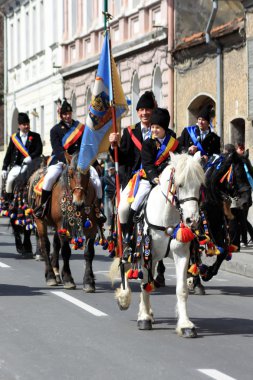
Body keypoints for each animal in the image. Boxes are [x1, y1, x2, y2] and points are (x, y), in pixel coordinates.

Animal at [29, 153, 99, 290]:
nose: (79, 203)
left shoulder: (91, 228)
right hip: (40, 221)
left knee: (56, 245)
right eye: (71, 174)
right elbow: (66, 251)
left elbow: (89, 252)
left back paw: (56, 273)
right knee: (45, 245)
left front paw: (89, 281)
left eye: (88, 174)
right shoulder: (63, 226)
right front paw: (68, 279)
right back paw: (50, 276)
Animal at [109, 154, 206, 338]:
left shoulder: (181, 254)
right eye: (180, 184)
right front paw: (144, 319)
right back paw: (126, 300)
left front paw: (185, 325)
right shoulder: (147, 252)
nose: (193, 220)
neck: (167, 216)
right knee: (129, 268)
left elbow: (181, 289)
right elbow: (145, 284)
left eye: (199, 186)